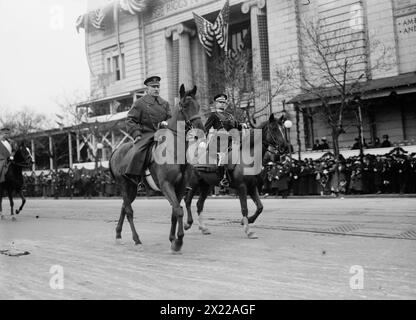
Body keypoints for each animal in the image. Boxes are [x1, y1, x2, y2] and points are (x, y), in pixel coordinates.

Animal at [108, 85, 204, 252]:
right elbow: (178, 210)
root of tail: (117, 150)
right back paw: (136, 239)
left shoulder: (180, 188)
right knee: (129, 211)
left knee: (123, 207)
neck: (174, 151)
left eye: (198, 106)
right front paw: (178, 241)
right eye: (185, 106)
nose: (200, 129)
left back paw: (118, 235)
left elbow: (175, 211)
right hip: (124, 185)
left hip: (132, 189)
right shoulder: (166, 186)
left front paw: (172, 239)